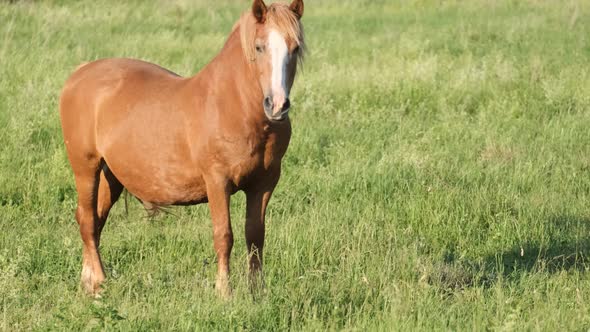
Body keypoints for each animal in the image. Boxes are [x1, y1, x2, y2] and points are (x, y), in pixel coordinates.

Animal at [59, 0, 306, 296]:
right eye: (259, 47)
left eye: (295, 47)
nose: (277, 105)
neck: (233, 106)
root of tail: (80, 73)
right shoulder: (217, 181)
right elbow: (224, 235)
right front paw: (224, 293)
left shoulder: (264, 183)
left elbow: (255, 236)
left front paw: (257, 293)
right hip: (85, 169)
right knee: (87, 219)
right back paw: (98, 284)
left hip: (112, 176)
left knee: (95, 221)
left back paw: (88, 281)